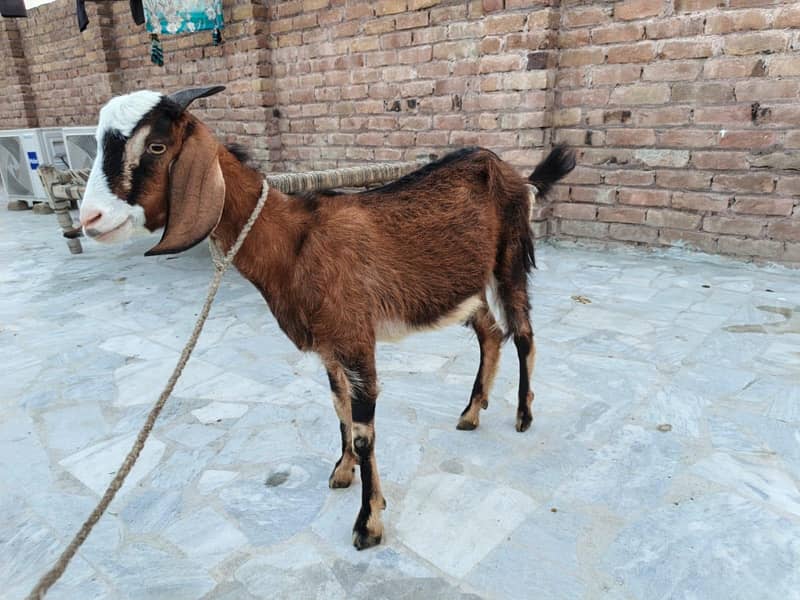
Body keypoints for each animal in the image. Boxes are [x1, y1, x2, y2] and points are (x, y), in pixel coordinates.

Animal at [78, 86, 576, 550]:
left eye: (156, 146)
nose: (91, 218)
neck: (294, 242)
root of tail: (518, 176)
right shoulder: (329, 346)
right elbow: (339, 409)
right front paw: (342, 471)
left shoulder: (355, 339)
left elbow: (363, 431)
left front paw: (368, 523)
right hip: (463, 286)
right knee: (490, 333)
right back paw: (471, 412)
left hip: (509, 259)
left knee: (523, 332)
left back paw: (523, 414)